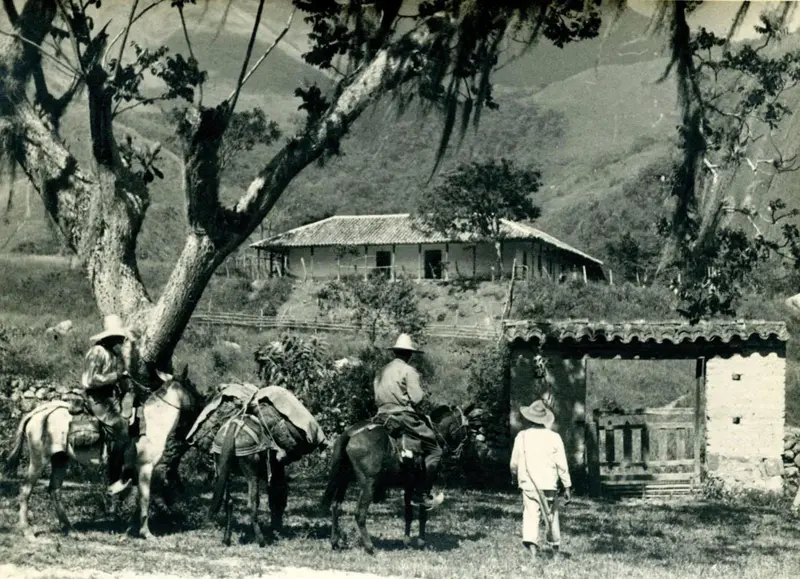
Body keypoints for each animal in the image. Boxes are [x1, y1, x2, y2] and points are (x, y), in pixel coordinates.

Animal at [3, 370, 203, 540]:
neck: (154, 422)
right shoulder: (146, 467)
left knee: (54, 491)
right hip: (39, 460)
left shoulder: (137, 470)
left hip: (60, 459)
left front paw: (130, 530)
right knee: (25, 490)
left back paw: (71, 530)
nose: (202, 404)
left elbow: (137, 500)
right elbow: (145, 498)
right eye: (192, 386)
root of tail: (40, 412)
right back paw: (28, 531)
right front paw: (146, 533)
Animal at [322, 406, 476, 556]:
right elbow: (423, 512)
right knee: (359, 513)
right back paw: (369, 547)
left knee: (336, 506)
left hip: (343, 480)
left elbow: (408, 513)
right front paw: (421, 541)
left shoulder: (408, 486)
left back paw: (335, 542)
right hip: (368, 484)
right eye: (467, 428)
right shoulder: (424, 485)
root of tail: (350, 434)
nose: (466, 448)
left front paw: (407, 541)